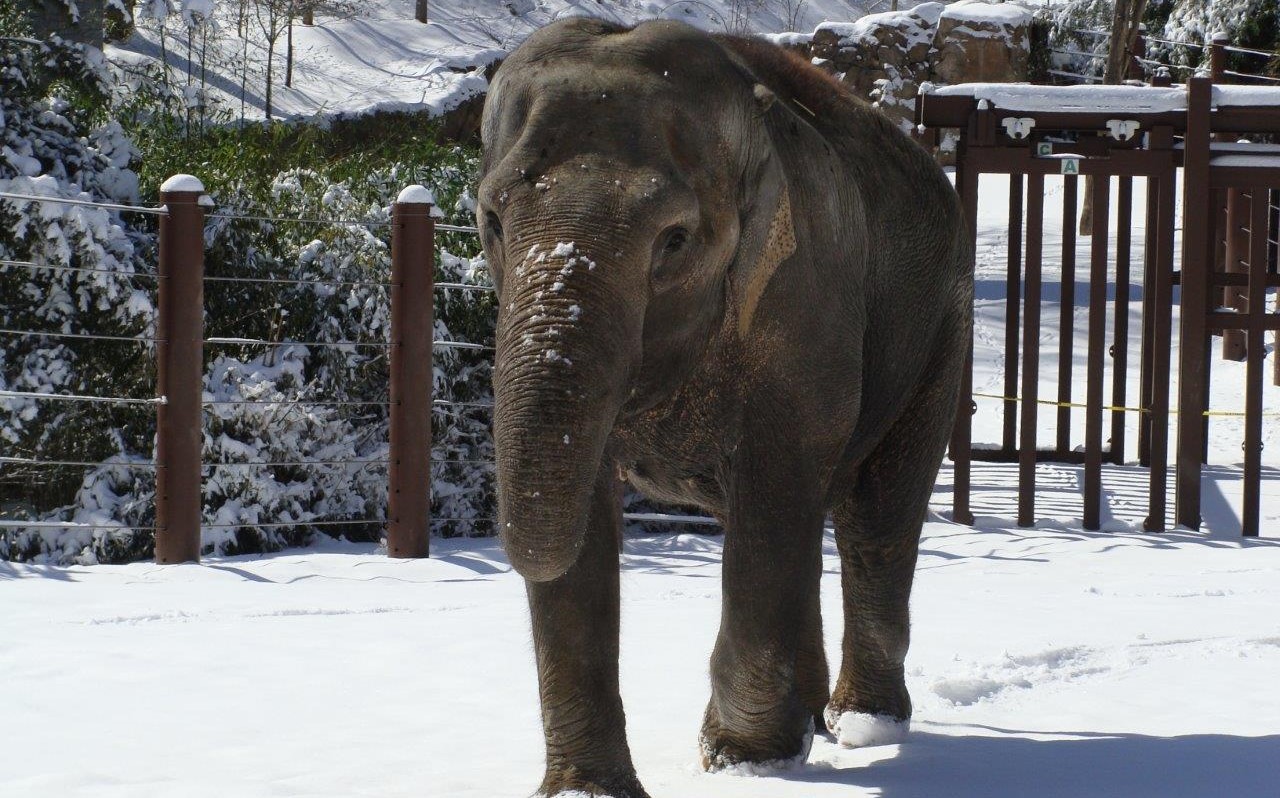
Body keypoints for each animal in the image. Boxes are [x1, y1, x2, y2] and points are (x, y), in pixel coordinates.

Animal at [478, 18, 967, 798]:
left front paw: (744, 761)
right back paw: (813, 723)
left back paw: (863, 726)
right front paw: (590, 790)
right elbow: (584, 514)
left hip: (939, 330)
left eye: (675, 240)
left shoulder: (805, 294)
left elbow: (775, 482)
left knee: (875, 516)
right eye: (493, 220)